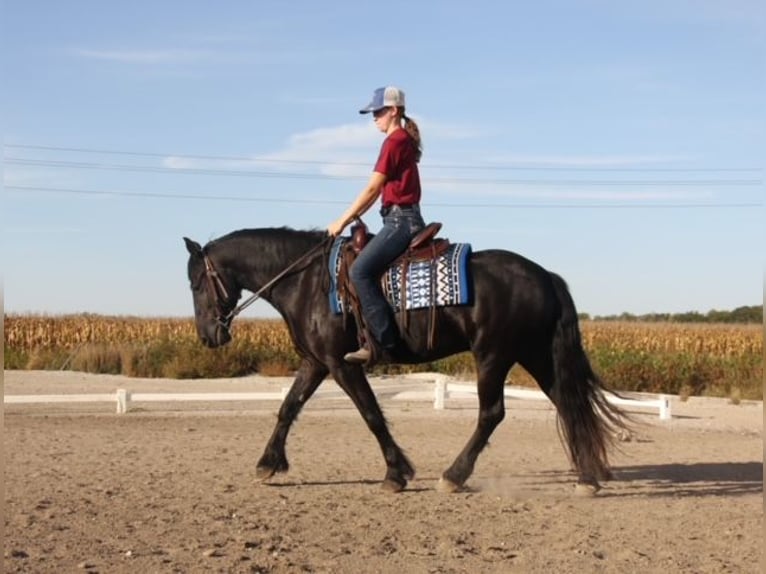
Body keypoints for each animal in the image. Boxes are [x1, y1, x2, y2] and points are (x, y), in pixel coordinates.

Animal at [186, 227, 632, 498]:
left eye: (196, 282)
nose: (208, 336)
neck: (307, 280)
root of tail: (544, 275)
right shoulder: (316, 362)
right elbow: (288, 407)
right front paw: (267, 464)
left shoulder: (343, 363)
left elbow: (371, 414)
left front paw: (396, 473)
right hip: (536, 355)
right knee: (568, 404)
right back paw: (587, 478)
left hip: (494, 356)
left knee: (492, 413)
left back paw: (453, 476)